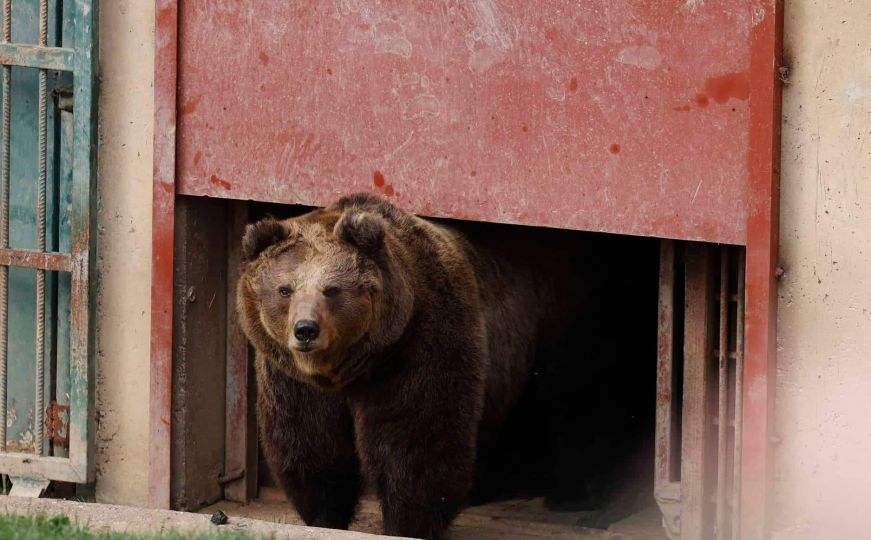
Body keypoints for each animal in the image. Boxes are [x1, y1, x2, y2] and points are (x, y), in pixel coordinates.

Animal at [235, 194, 608, 540]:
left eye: (332, 289)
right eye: (284, 289)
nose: (305, 330)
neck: (351, 368)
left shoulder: (420, 345)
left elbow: (415, 443)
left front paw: (407, 524)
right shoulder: (294, 380)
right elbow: (312, 444)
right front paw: (326, 518)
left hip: (559, 321)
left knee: (573, 397)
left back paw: (572, 495)